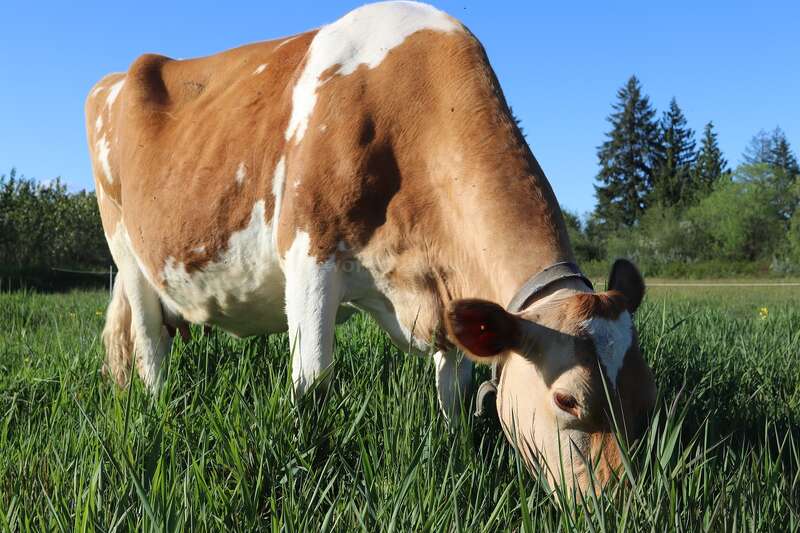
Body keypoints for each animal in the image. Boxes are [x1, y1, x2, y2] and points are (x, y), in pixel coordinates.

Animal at [85, 1, 655, 493]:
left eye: (646, 396)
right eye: (567, 400)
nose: (620, 502)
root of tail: (118, 77)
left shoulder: (447, 292)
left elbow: (453, 393)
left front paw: (458, 454)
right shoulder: (309, 253)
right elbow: (313, 381)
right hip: (125, 250)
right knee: (149, 342)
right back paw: (159, 406)